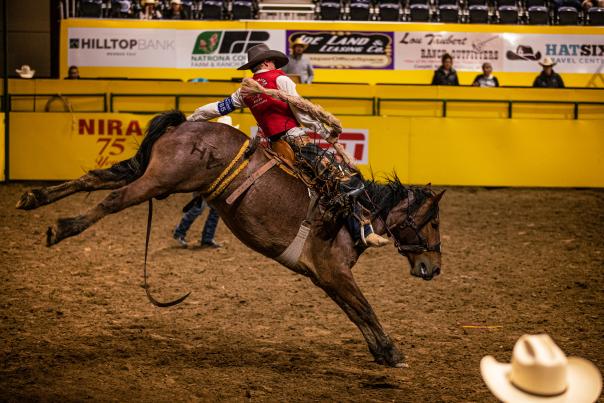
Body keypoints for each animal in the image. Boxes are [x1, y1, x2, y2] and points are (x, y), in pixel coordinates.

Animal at [16, 110, 444, 370]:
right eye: (434, 222)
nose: (434, 267)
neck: (355, 214)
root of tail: (183, 125)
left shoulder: (325, 277)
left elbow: (355, 312)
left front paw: (382, 352)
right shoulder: (333, 271)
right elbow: (365, 309)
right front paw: (393, 352)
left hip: (152, 175)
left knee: (97, 178)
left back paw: (33, 198)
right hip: (162, 181)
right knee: (112, 199)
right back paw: (62, 227)